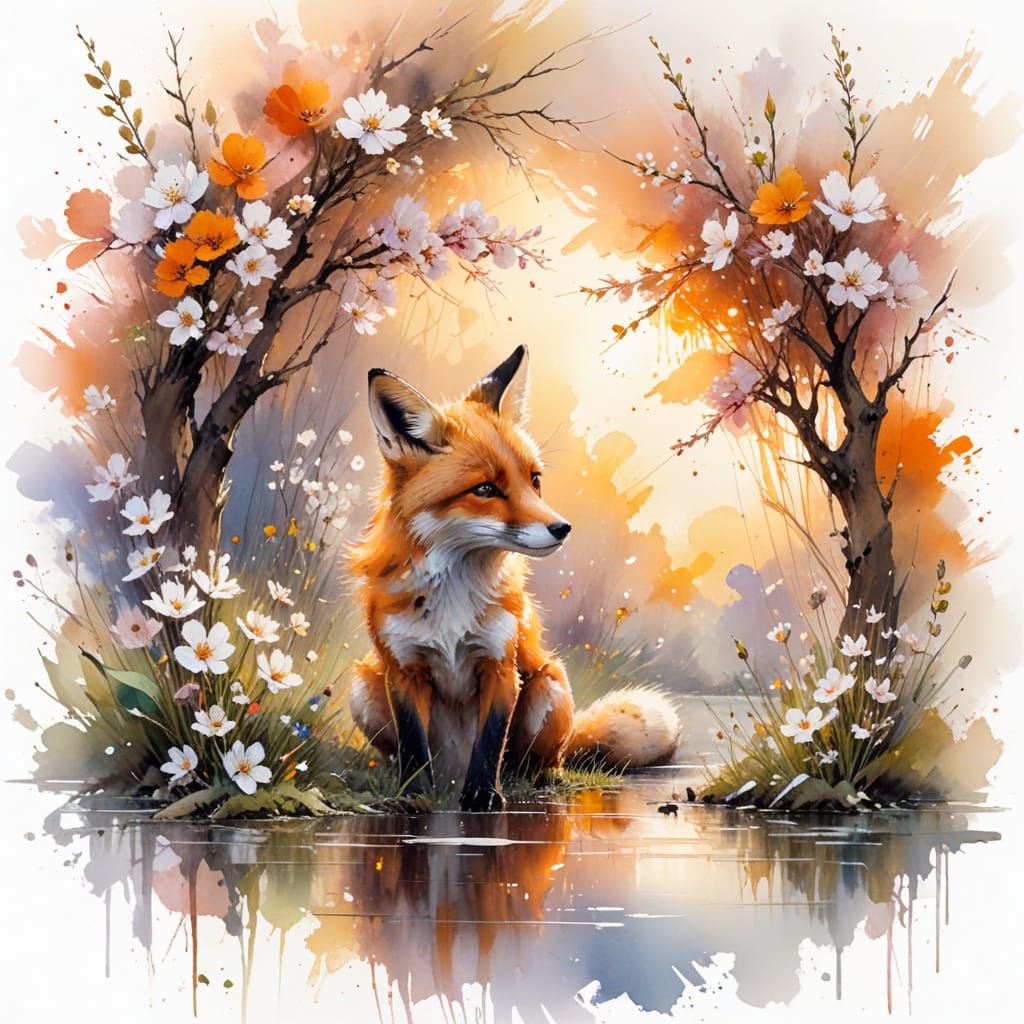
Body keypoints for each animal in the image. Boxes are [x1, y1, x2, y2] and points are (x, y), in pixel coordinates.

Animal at [349, 344, 680, 811]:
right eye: (485, 489)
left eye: (535, 480)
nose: (563, 528)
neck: (453, 595)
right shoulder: (403, 669)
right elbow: (413, 746)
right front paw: (411, 795)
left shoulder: (501, 665)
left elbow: (490, 743)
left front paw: (484, 795)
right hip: (363, 684)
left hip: (549, 684)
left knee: (540, 760)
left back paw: (535, 779)